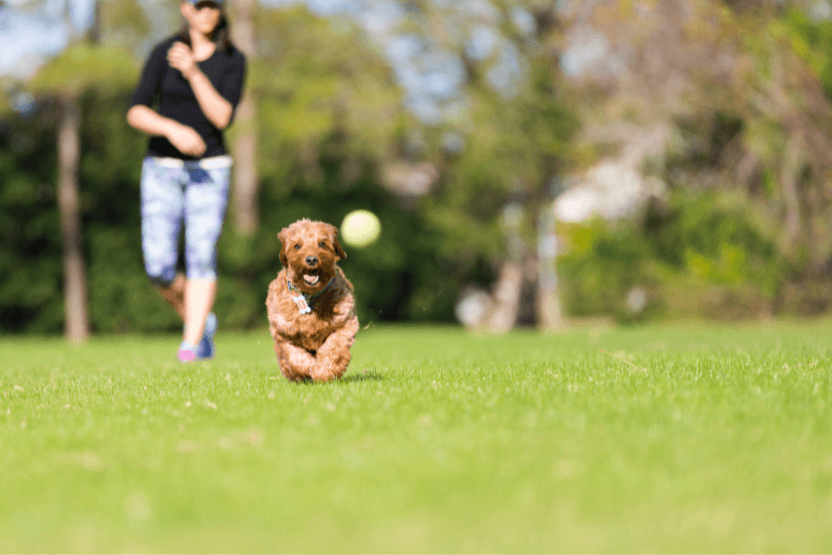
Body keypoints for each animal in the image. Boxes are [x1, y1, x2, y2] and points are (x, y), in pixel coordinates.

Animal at [266, 218, 358, 382]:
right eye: (297, 245)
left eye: (322, 243)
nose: (311, 259)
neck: (309, 296)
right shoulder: (283, 333)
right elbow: (295, 358)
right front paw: (309, 368)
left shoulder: (346, 323)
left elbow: (334, 348)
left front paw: (323, 372)